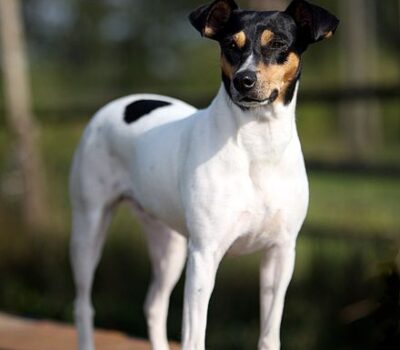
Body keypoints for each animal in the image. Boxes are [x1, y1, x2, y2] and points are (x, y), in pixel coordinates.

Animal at [70, 1, 340, 348]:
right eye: (230, 45)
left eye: (278, 43)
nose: (244, 80)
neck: (257, 147)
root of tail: (117, 104)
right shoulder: (204, 255)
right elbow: (194, 338)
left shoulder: (280, 255)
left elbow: (269, 336)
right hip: (89, 228)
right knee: (83, 305)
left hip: (168, 244)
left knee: (154, 304)